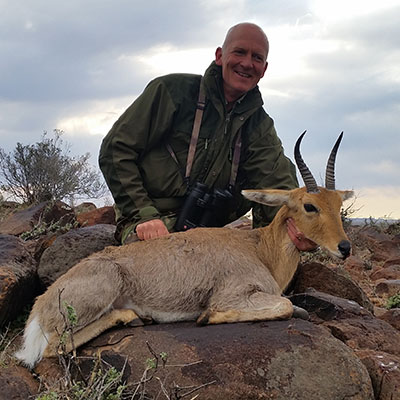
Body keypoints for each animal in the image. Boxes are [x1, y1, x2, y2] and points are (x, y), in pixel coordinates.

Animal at [15, 132, 354, 368]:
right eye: (309, 205)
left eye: (338, 203)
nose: (345, 248)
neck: (260, 249)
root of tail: (40, 307)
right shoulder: (233, 294)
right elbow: (283, 306)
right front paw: (206, 317)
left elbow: (294, 307)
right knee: (54, 347)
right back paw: (134, 316)